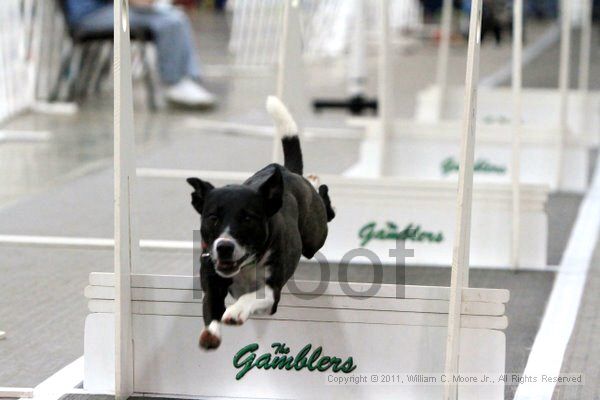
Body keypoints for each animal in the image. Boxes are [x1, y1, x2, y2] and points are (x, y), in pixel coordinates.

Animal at [188, 97, 336, 350]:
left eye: (248, 218)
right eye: (213, 218)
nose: (224, 246)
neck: (247, 265)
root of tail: (287, 171)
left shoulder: (271, 292)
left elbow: (252, 297)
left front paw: (236, 311)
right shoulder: (212, 282)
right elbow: (211, 309)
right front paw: (210, 334)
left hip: (313, 237)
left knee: (326, 212)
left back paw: (316, 181)